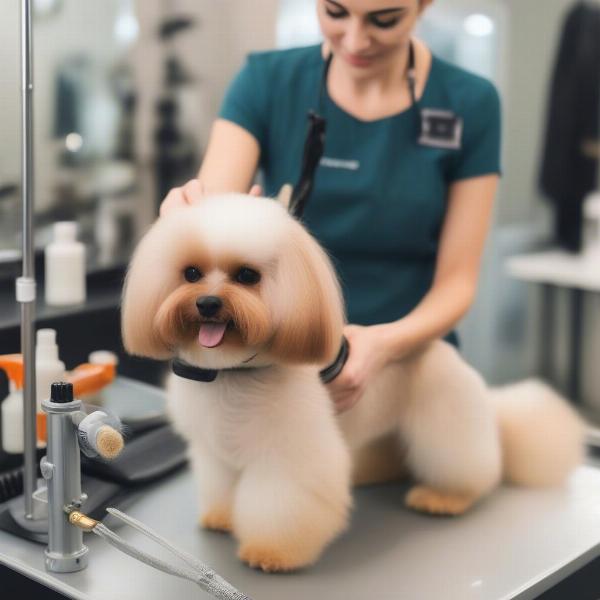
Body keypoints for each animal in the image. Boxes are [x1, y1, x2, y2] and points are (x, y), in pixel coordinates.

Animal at [122, 192, 584, 572]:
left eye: (247, 276)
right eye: (191, 273)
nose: (207, 302)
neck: (231, 375)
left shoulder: (289, 457)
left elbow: (281, 503)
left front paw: (272, 552)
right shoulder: (215, 448)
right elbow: (221, 485)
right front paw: (223, 516)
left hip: (447, 423)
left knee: (472, 466)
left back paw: (445, 497)